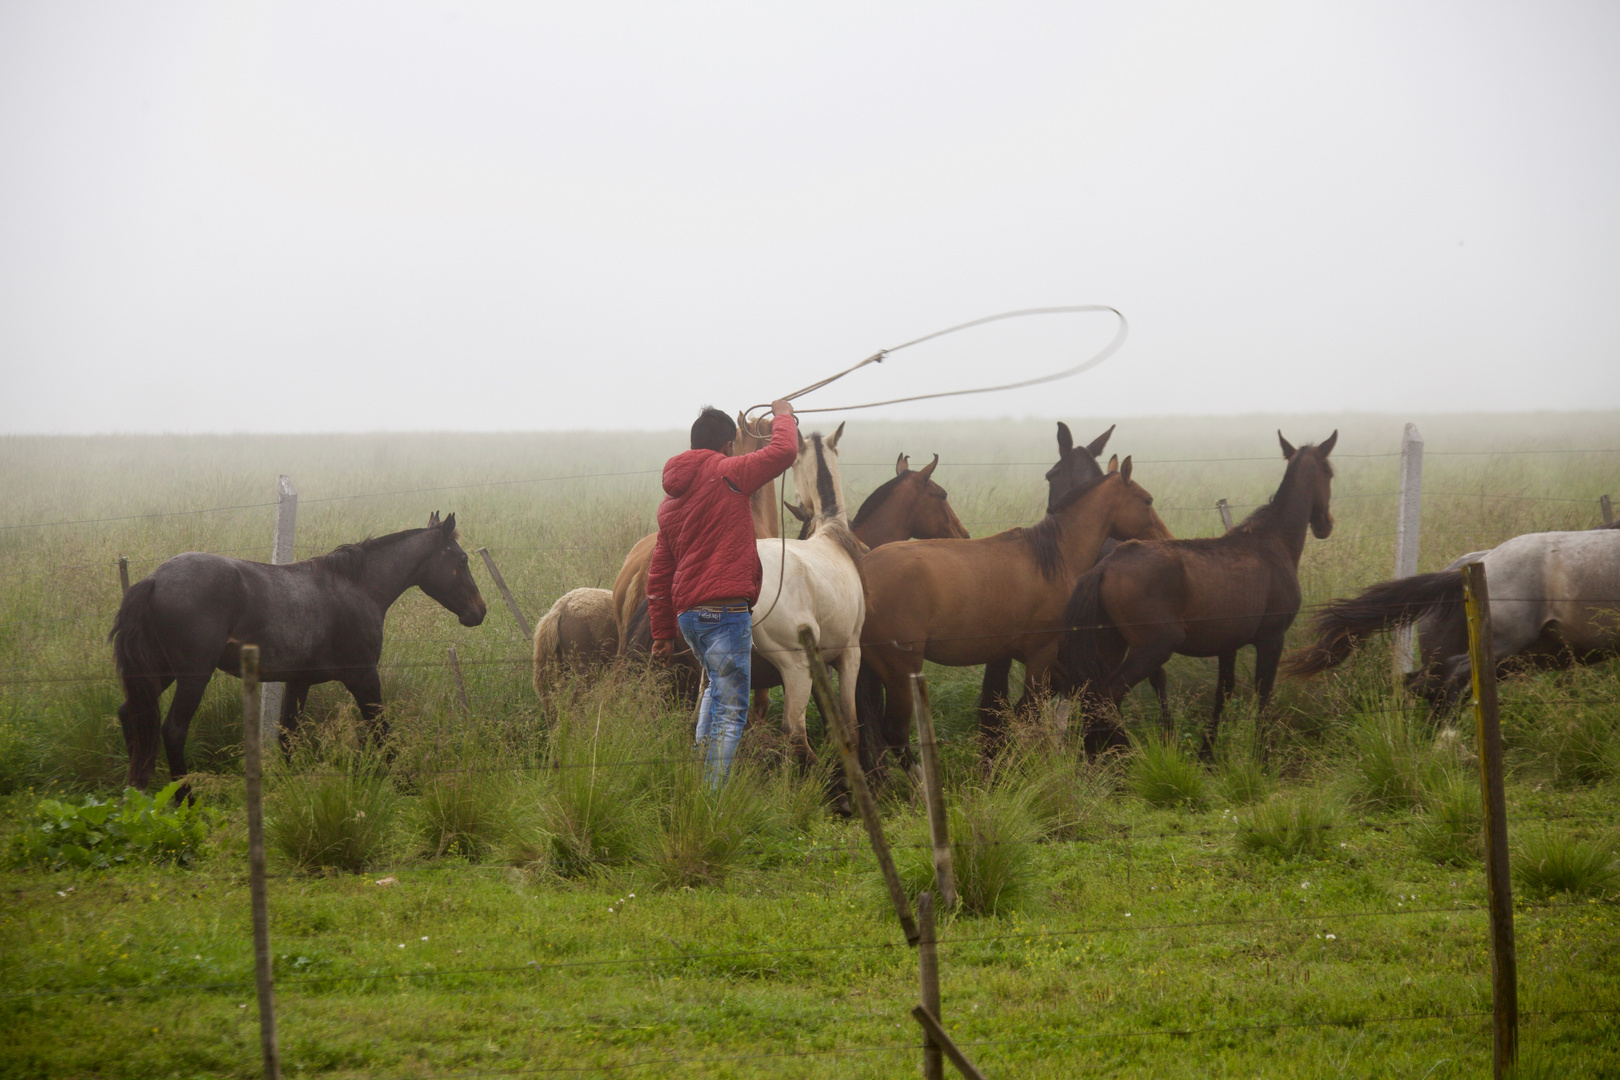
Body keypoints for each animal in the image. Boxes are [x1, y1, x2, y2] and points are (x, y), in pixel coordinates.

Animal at [111, 511, 482, 790]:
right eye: (462, 558)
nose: (480, 611)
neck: (356, 588)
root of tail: (154, 580)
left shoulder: (298, 682)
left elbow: (288, 735)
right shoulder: (363, 677)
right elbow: (381, 731)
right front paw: (404, 781)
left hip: (158, 674)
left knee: (131, 715)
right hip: (192, 677)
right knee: (173, 729)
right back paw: (186, 798)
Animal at [751, 424, 868, 767]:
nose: (800, 506)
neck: (832, 533)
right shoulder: (850, 653)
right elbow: (850, 724)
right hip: (795, 667)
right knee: (795, 735)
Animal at [1049, 430, 1341, 761]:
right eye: (1329, 472)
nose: (1326, 524)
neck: (1271, 541)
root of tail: (1104, 567)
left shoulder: (1229, 644)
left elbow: (1223, 692)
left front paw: (1207, 754)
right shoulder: (1271, 638)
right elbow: (1263, 695)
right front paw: (1261, 756)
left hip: (1111, 646)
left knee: (1093, 698)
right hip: (1153, 648)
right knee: (1109, 695)